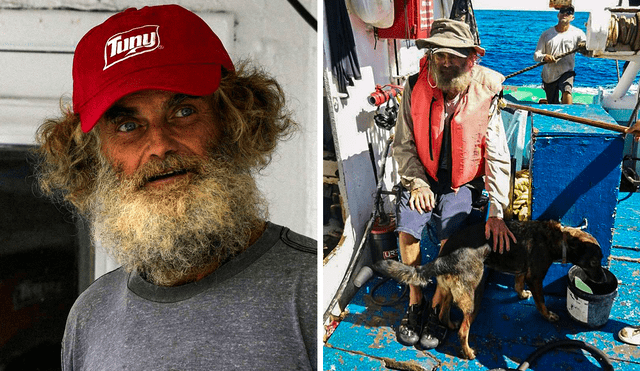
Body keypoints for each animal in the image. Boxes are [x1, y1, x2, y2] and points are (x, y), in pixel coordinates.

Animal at [372, 219, 604, 362]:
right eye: (594, 261)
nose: (602, 280)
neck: (557, 238)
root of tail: (443, 258)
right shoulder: (535, 277)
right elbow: (541, 302)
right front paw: (548, 316)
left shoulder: (522, 271)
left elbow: (518, 283)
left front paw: (521, 294)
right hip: (473, 296)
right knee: (463, 330)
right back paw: (468, 352)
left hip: (448, 290)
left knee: (443, 312)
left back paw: (450, 324)